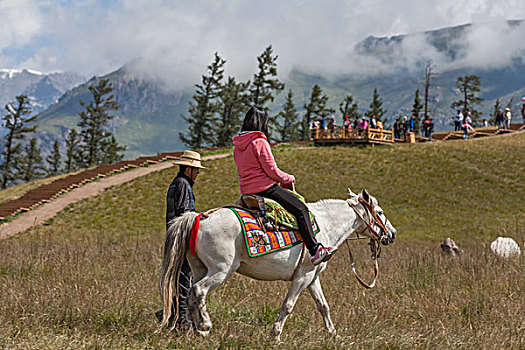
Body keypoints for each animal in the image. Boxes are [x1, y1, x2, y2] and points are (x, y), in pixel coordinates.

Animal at [158, 189, 396, 340]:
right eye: (380, 212)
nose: (392, 234)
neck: (326, 225)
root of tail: (198, 218)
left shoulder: (312, 277)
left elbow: (323, 305)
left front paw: (333, 334)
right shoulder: (302, 277)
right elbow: (288, 305)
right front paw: (275, 334)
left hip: (199, 268)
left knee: (189, 295)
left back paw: (198, 331)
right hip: (221, 270)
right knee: (199, 291)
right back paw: (206, 325)